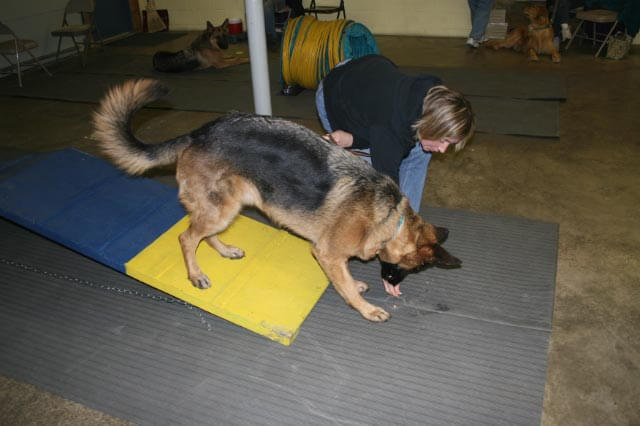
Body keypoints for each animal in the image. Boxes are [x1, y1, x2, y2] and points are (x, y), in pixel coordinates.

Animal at [94, 80, 460, 322]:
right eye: (414, 268)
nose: (393, 285)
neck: (391, 219)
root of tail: (198, 133)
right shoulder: (327, 253)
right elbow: (345, 285)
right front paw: (366, 307)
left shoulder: (333, 256)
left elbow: (344, 278)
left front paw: (355, 283)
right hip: (221, 209)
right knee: (186, 237)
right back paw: (196, 274)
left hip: (228, 207)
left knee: (203, 234)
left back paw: (225, 250)